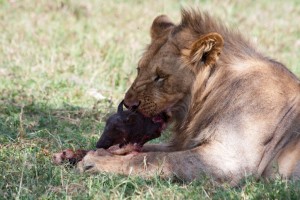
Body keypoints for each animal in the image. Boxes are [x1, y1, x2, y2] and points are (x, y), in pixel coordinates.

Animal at [78, 9, 300, 184]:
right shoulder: (185, 143)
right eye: (139, 69)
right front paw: (99, 152)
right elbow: (151, 149)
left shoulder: (229, 159)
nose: (128, 104)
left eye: (160, 76)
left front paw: (96, 161)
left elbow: (154, 159)